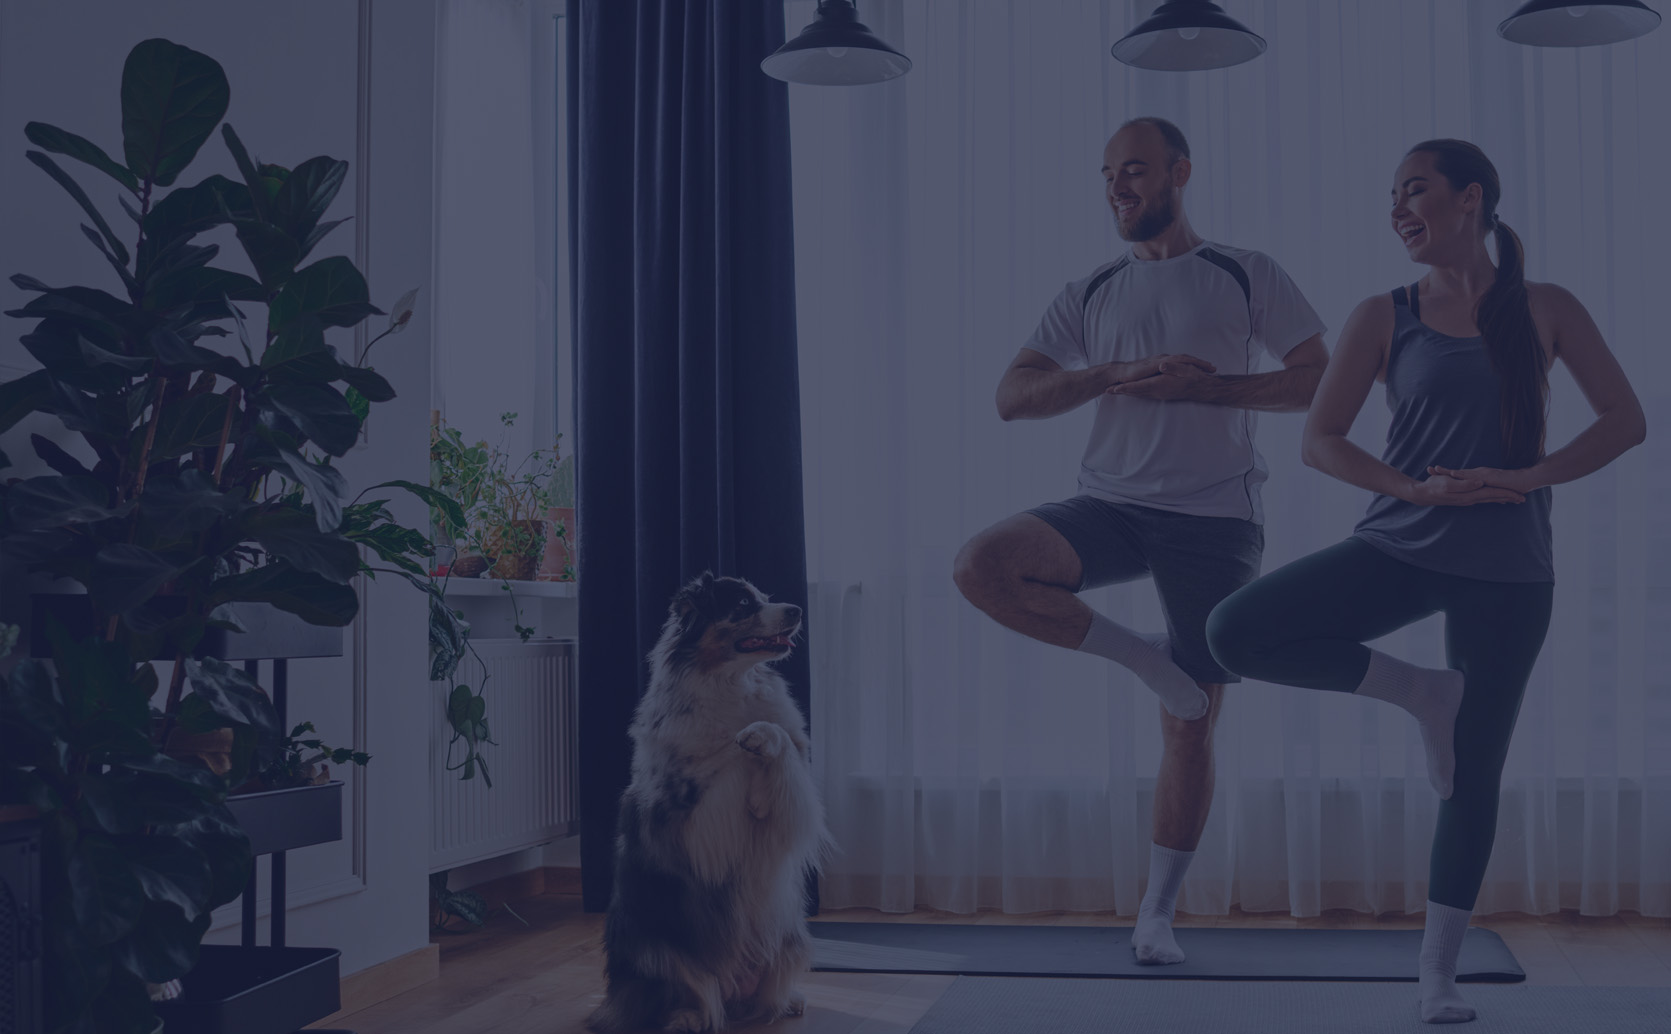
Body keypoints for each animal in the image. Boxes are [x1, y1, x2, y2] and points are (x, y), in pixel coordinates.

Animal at [584, 571, 832, 1028]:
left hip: (791, 934)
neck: (730, 682)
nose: (796, 610)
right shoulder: (691, 822)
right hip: (654, 951)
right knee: (690, 993)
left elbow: (779, 738)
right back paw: (687, 1019)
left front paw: (760, 788)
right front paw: (747, 749)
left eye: (766, 596)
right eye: (743, 603)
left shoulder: (795, 779)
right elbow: (728, 752)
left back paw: (787, 1000)